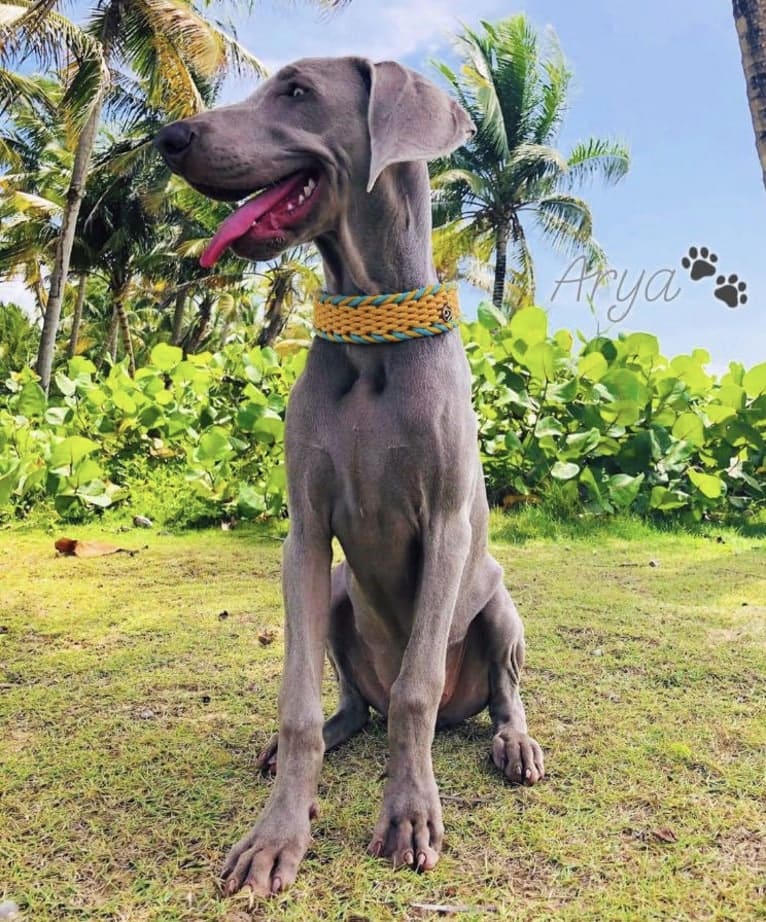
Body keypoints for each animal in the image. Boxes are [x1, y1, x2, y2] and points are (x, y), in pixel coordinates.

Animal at [156, 54, 544, 896]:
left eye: (298, 91)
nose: (169, 137)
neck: (373, 328)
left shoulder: (446, 526)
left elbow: (414, 691)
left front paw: (409, 815)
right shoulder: (304, 536)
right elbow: (297, 701)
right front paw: (277, 836)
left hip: (500, 603)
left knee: (498, 694)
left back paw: (515, 743)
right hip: (338, 595)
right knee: (355, 706)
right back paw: (329, 735)